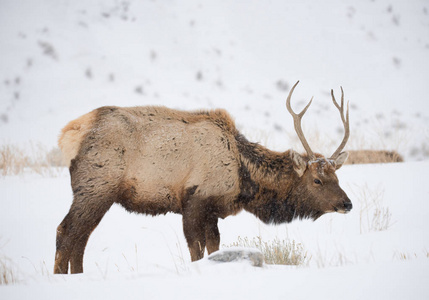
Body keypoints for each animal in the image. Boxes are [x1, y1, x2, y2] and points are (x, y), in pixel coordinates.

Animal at [54, 81, 352, 274]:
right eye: (317, 180)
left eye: (338, 177)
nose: (347, 203)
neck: (243, 178)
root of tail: (68, 133)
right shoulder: (194, 201)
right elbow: (196, 251)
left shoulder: (212, 210)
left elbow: (214, 247)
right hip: (96, 187)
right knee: (66, 231)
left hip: (97, 193)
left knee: (81, 236)